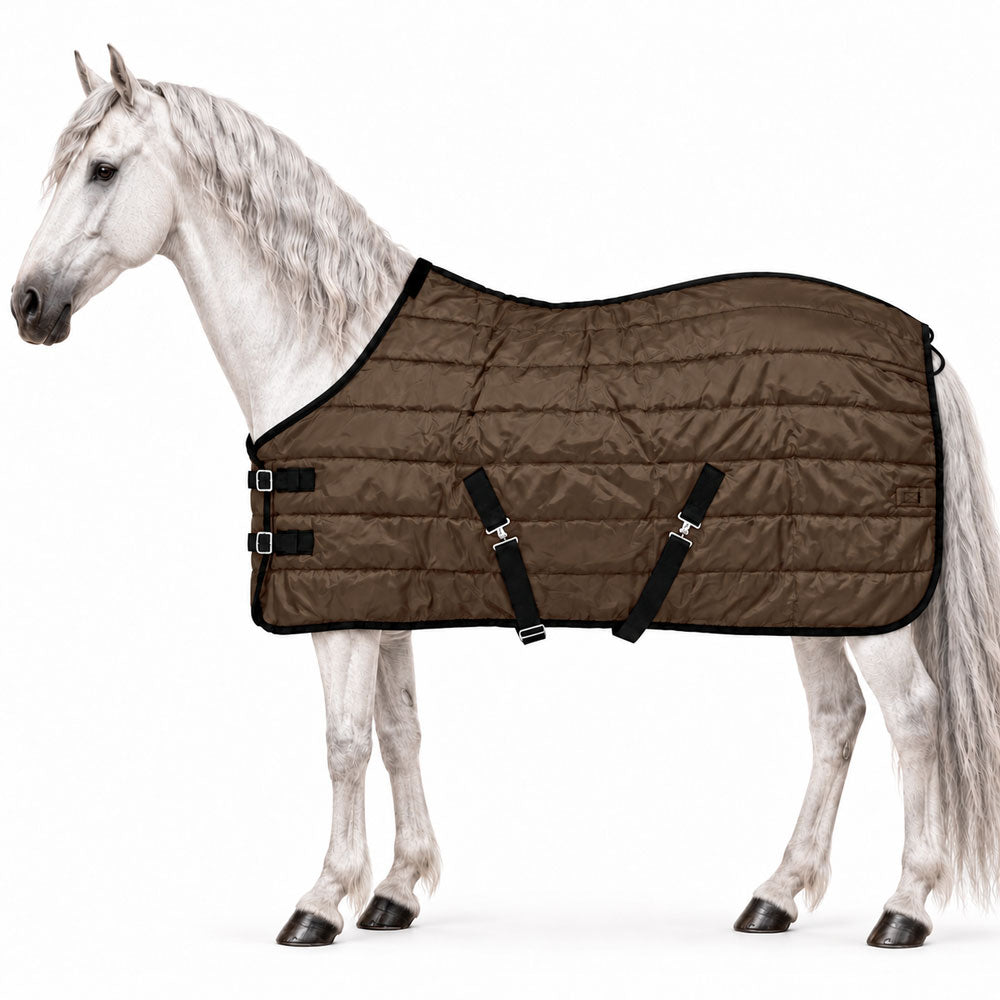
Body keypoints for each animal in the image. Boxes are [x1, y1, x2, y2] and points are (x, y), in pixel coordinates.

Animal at [11, 46, 1000, 949]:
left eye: (103, 169)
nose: (26, 305)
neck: (330, 349)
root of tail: (918, 342)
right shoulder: (387, 598)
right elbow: (399, 731)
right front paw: (395, 892)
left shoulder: (342, 616)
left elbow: (343, 744)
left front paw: (321, 901)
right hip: (811, 591)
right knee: (837, 721)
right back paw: (776, 896)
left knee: (914, 718)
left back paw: (905, 909)